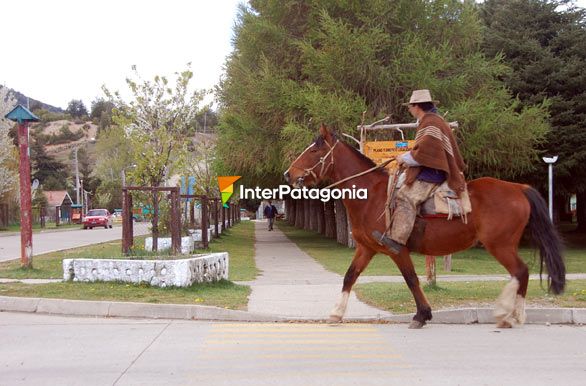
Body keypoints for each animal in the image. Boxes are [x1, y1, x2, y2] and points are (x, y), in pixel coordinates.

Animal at [286, 124, 564, 328]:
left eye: (314, 151)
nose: (289, 174)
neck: (372, 196)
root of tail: (519, 188)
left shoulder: (397, 249)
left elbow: (411, 279)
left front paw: (422, 315)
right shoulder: (366, 248)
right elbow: (350, 276)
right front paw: (336, 313)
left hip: (500, 245)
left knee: (520, 272)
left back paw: (511, 314)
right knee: (519, 273)